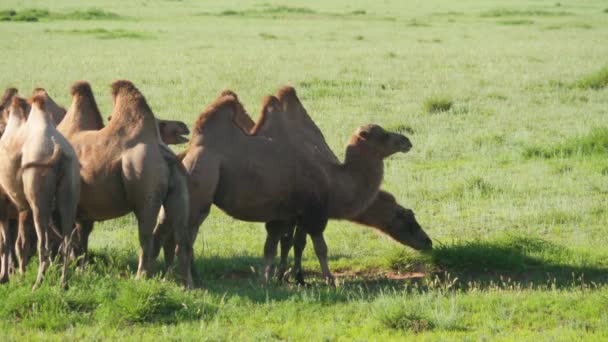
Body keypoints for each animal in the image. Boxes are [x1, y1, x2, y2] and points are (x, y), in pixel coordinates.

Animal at [0, 94, 79, 288]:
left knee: (43, 243)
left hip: (38, 189)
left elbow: (7, 243)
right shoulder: (18, 209)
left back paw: (37, 284)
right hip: (69, 184)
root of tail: (58, 149)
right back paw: (63, 283)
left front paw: (6, 277)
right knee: (66, 239)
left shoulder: (4, 205)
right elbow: (16, 243)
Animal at [58, 79, 192, 286]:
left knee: (146, 236)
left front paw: (75, 270)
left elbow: (73, 239)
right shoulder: (84, 212)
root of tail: (165, 155)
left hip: (144, 186)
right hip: (178, 187)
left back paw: (140, 277)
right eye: (162, 123)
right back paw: (187, 286)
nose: (183, 126)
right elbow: (81, 239)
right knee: (179, 235)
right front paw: (81, 270)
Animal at [178, 92, 410, 284]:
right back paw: (189, 282)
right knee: (187, 238)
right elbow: (320, 248)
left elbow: (272, 247)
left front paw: (268, 280)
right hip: (201, 182)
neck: (334, 178)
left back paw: (194, 280)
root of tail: (188, 153)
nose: (406, 141)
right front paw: (329, 280)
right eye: (383, 135)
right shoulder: (314, 212)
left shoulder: (283, 214)